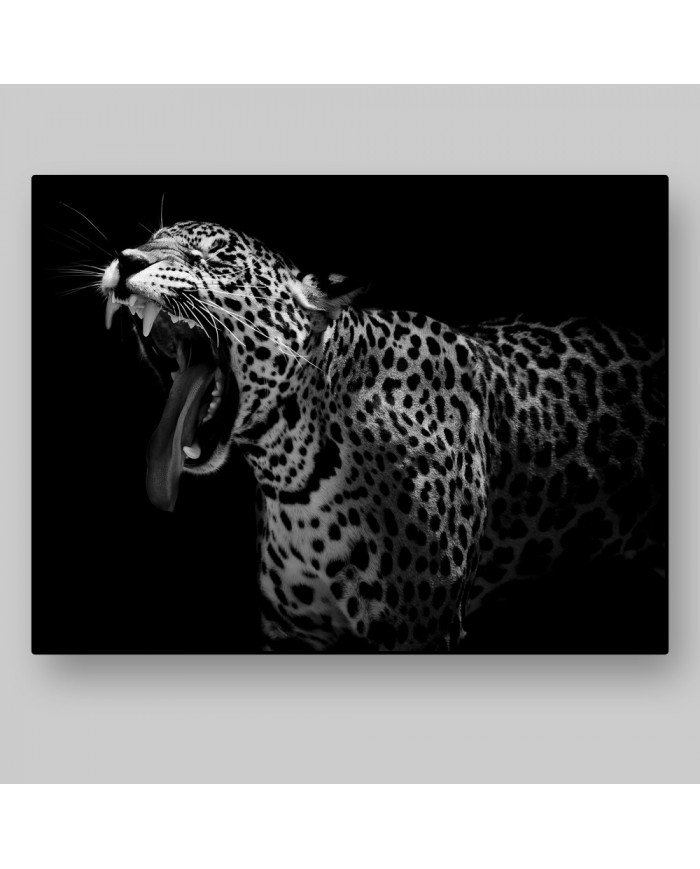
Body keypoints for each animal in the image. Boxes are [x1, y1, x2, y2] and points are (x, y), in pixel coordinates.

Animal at [99, 220, 666, 652]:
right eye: (150, 238)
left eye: (213, 258)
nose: (126, 260)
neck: (293, 470)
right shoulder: (294, 632)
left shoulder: (421, 628)